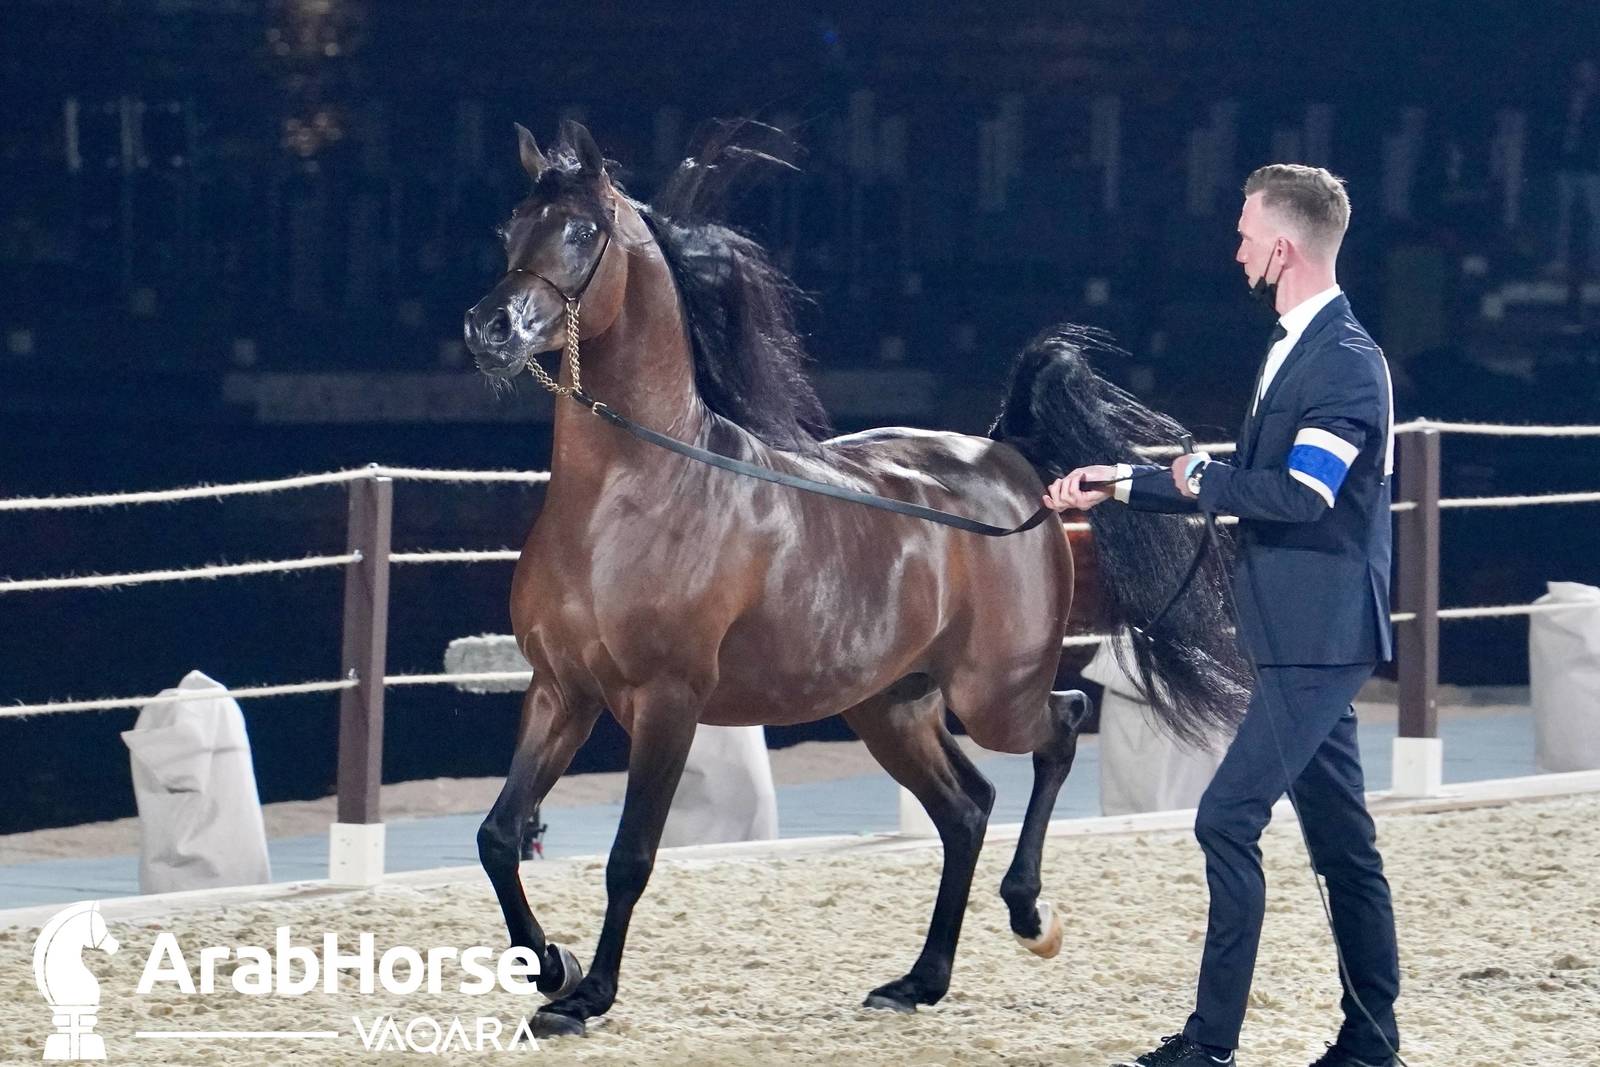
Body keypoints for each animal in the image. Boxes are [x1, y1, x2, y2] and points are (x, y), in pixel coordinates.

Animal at [461, 119, 1248, 1038]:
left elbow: (631, 855)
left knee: (1060, 727)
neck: (629, 493)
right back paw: (918, 980)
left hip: (992, 694)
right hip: (891, 706)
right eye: (511, 226)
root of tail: (1010, 458)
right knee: (967, 807)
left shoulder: (667, 701)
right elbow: (499, 834)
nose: (489, 328)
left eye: (582, 231)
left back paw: (1030, 916)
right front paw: (554, 964)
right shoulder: (562, 689)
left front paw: (588, 993)